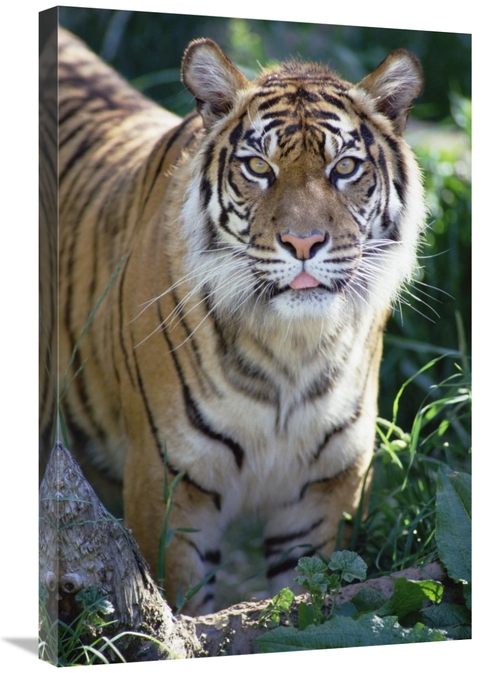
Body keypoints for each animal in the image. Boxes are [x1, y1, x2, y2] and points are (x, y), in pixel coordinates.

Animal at [43, 26, 426, 616]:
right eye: (258, 168)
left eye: (344, 168)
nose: (303, 243)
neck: (292, 348)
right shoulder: (170, 485)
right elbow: (182, 607)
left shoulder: (325, 491)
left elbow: (308, 602)